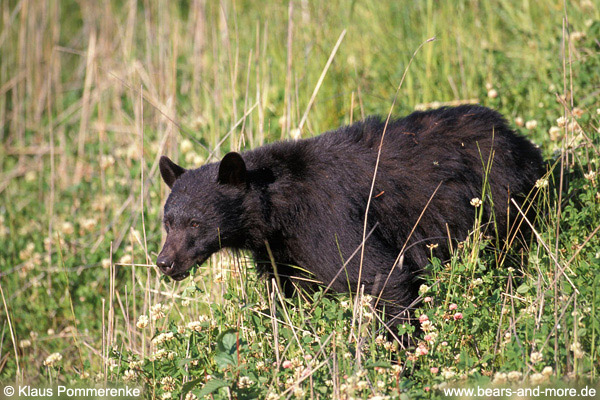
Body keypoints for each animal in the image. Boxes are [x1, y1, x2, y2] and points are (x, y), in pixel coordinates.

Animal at [155, 106, 544, 324]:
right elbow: (291, 295)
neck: (279, 211)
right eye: (168, 222)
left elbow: (380, 275)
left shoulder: (328, 219)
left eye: (195, 222)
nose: (164, 262)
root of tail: (519, 139)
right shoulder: (283, 252)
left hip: (503, 200)